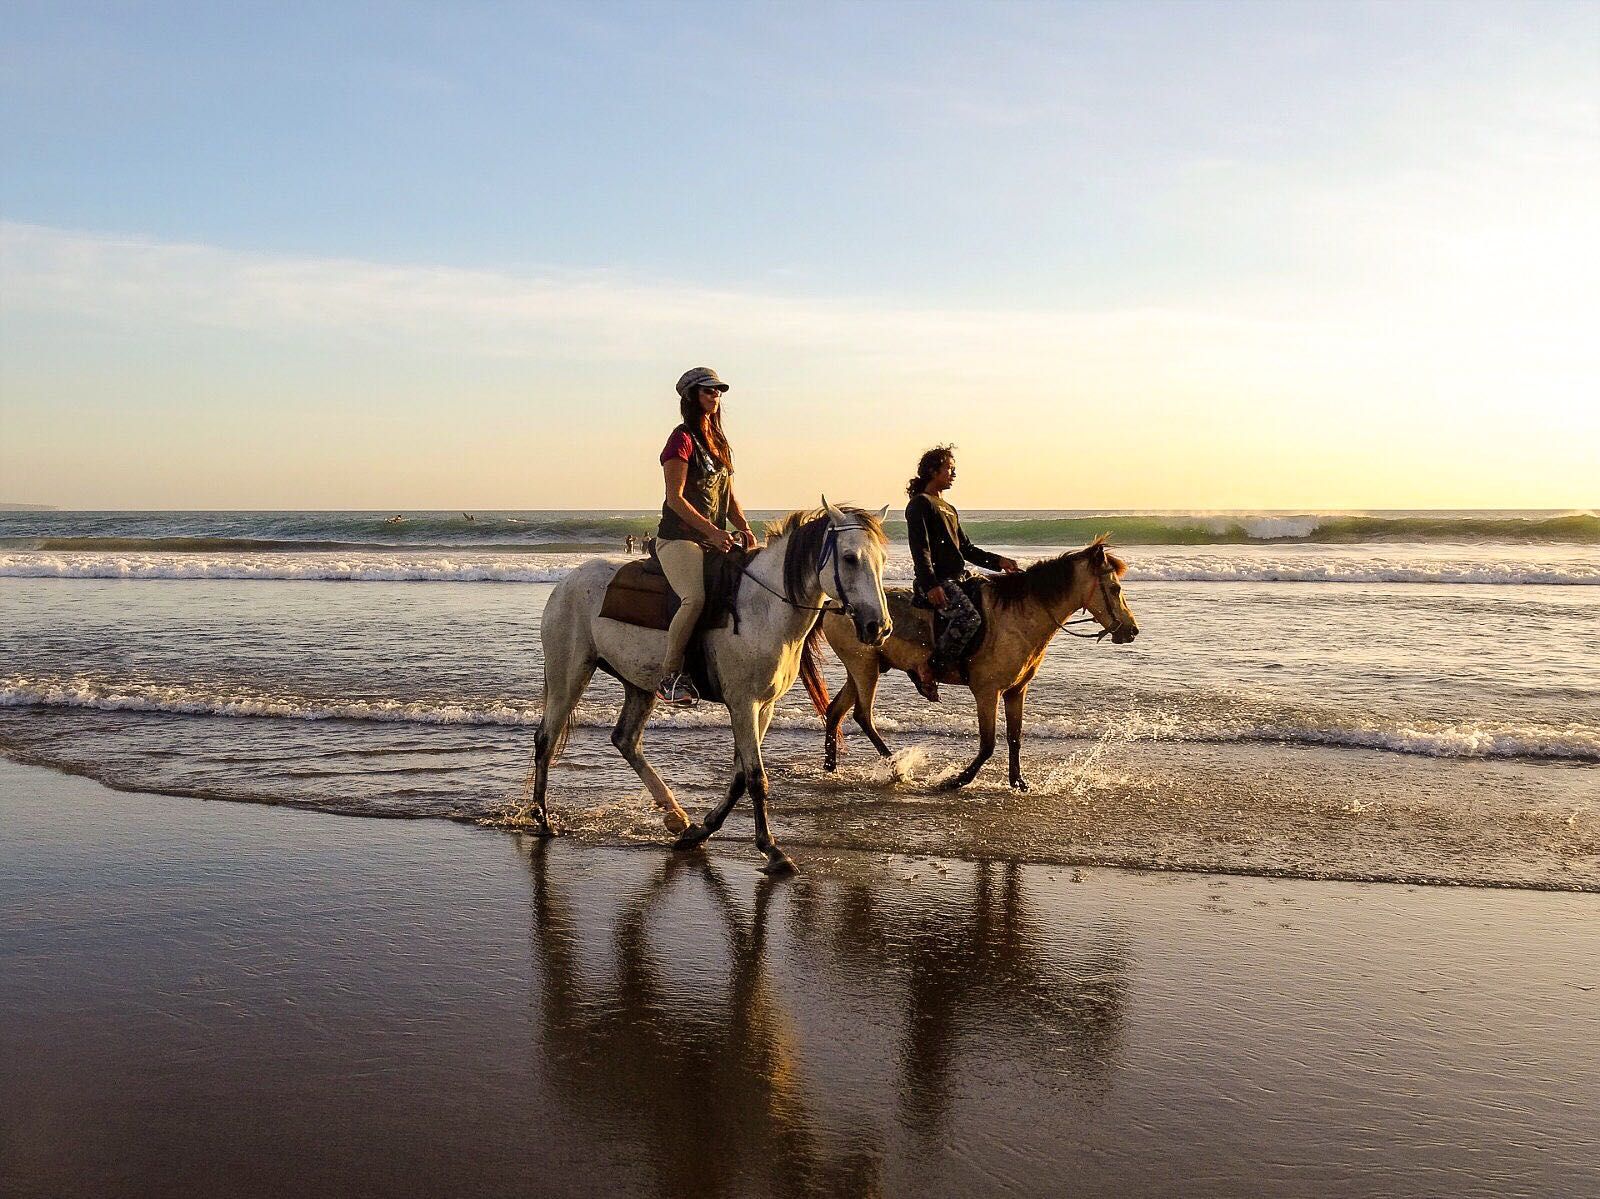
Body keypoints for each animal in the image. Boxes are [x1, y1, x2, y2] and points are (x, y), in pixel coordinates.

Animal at [521, 499, 889, 877]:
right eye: (850, 558)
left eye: (882, 559)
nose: (878, 626)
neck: (764, 608)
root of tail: (566, 583)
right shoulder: (743, 703)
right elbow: (755, 777)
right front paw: (772, 850)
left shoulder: (764, 707)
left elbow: (740, 776)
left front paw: (702, 830)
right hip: (569, 673)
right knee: (546, 739)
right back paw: (543, 818)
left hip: (639, 683)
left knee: (625, 739)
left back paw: (675, 815)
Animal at [812, 541, 1139, 784]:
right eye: (1115, 589)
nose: (1132, 630)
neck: (1019, 617)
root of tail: (834, 605)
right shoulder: (986, 691)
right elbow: (988, 742)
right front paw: (958, 780)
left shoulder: (1015, 691)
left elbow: (1014, 738)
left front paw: (1018, 782)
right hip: (864, 668)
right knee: (862, 716)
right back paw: (897, 770)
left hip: (861, 669)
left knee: (836, 711)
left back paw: (831, 768)